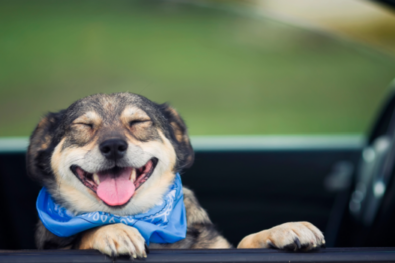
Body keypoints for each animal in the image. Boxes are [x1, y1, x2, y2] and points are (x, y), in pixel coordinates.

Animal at [27, 93, 324, 260]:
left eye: (139, 122)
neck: (141, 219)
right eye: (83, 125)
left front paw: (283, 229)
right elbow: (87, 233)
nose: (112, 146)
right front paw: (112, 230)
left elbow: (245, 241)